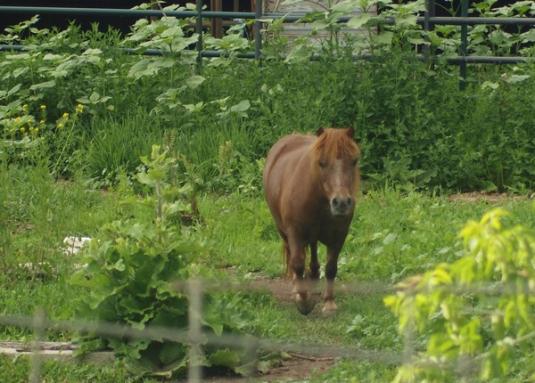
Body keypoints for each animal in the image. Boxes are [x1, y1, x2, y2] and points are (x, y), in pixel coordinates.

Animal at [262, 128, 362, 316]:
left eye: (354, 161)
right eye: (321, 163)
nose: (341, 202)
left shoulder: (339, 235)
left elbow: (331, 267)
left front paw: (329, 302)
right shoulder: (295, 232)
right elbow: (297, 264)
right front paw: (303, 302)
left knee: (314, 248)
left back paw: (314, 276)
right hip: (284, 231)